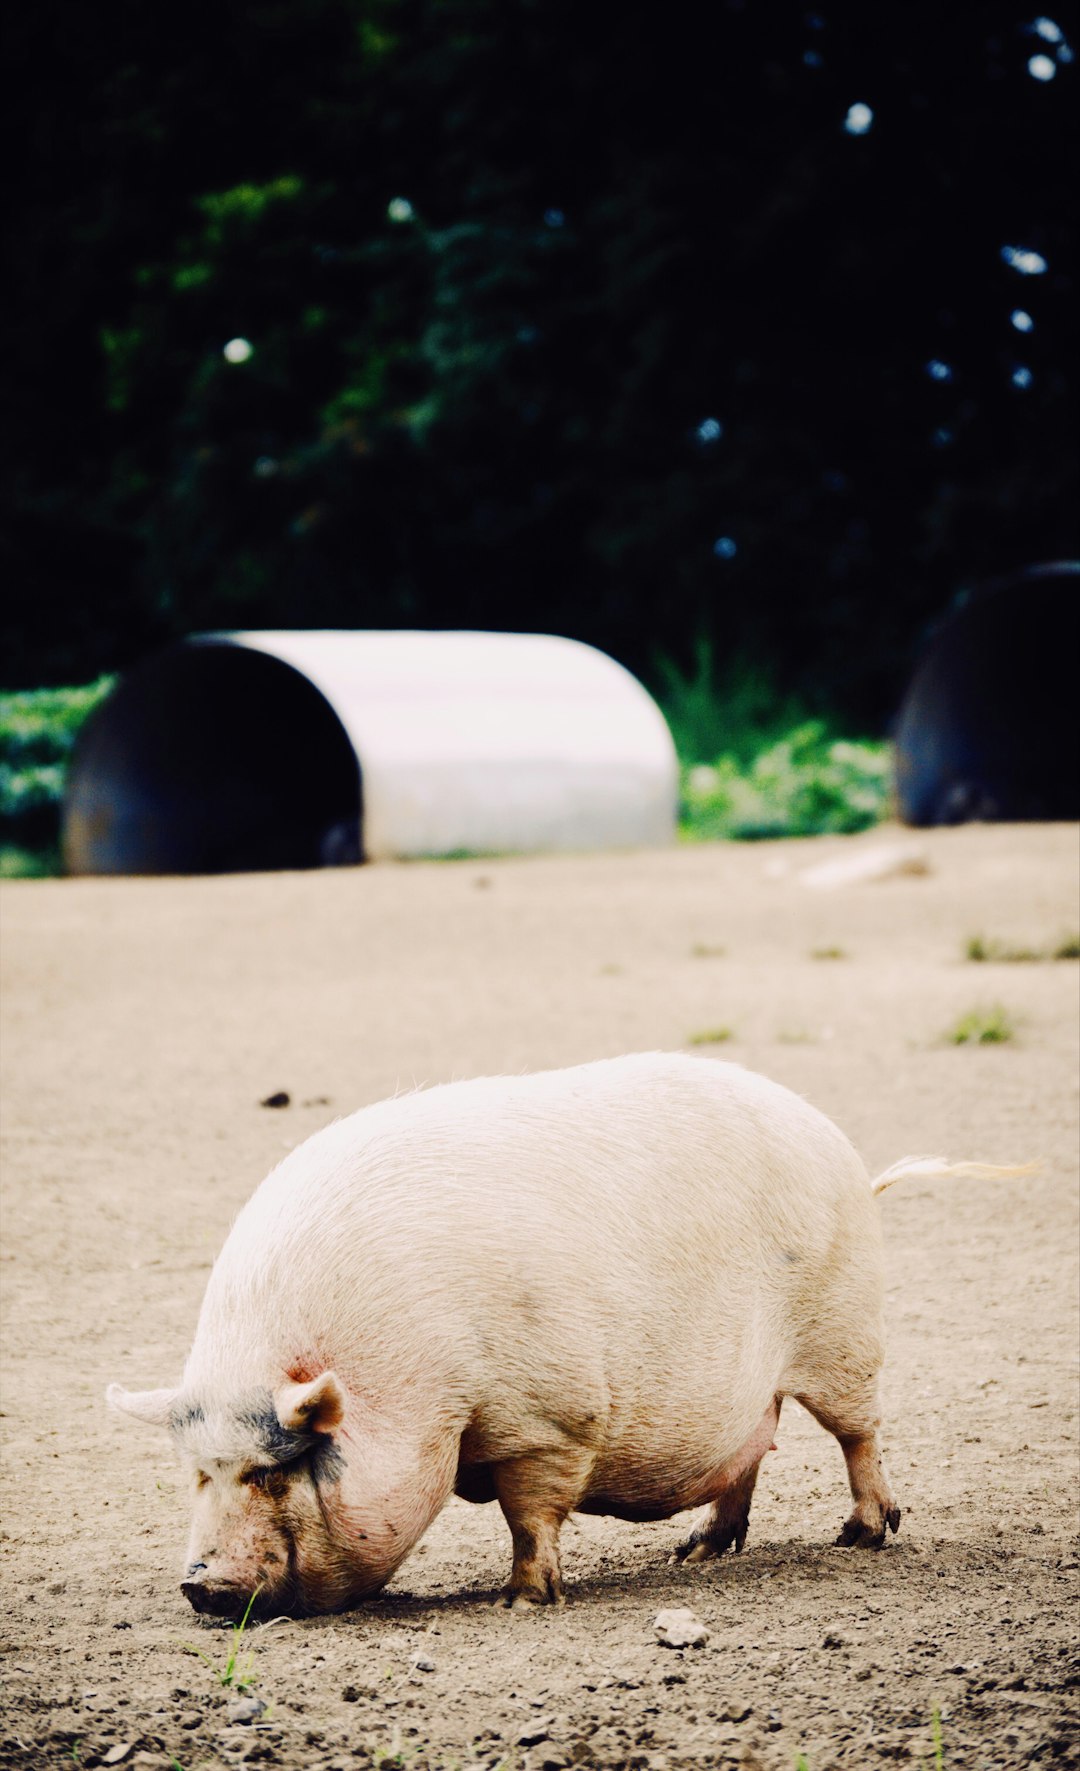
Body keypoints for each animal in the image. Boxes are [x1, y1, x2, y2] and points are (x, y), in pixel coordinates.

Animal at [105, 1048, 1012, 1622]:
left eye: (272, 1473)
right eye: (199, 1473)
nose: (201, 1586)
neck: (416, 1392)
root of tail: (849, 1158)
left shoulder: (548, 1417)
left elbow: (530, 1511)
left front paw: (520, 1600)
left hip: (845, 1332)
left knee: (858, 1432)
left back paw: (862, 1535)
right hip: (757, 1385)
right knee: (751, 1450)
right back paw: (695, 1554)